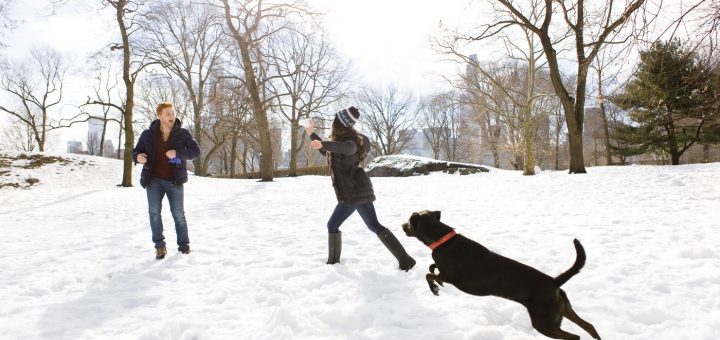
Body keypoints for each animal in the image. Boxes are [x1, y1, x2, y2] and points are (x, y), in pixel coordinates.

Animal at [402, 210, 600, 340]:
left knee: (574, 337)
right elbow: (432, 267)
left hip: (544, 322)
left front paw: (435, 289)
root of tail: (554, 281)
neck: (442, 239)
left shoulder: (452, 278)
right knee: (589, 326)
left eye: (409, 222)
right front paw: (435, 277)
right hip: (563, 310)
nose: (402, 225)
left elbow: (428, 275)